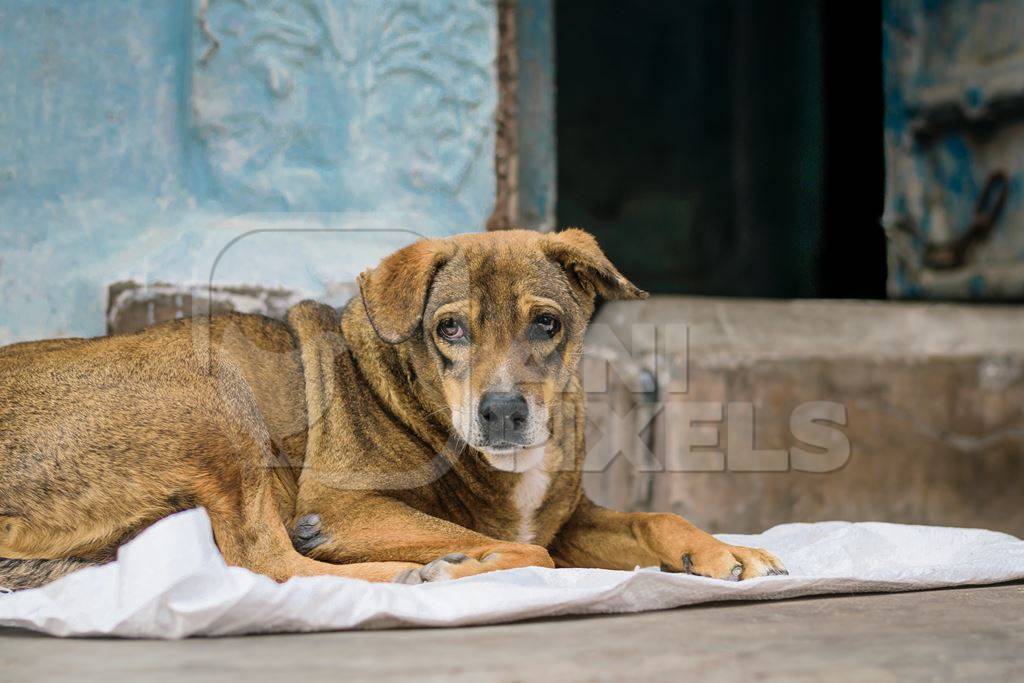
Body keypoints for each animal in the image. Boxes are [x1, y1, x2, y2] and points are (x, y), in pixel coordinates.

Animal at [0, 228, 786, 589]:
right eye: (450, 329)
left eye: (547, 324)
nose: (503, 412)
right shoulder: (347, 504)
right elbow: (522, 547)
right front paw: (454, 559)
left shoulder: (570, 519)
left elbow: (656, 518)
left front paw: (727, 550)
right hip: (213, 393)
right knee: (264, 560)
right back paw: (416, 571)